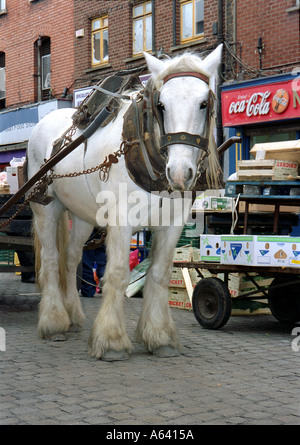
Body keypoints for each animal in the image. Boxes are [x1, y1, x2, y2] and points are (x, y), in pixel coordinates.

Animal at [26, 44, 223, 360]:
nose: (180, 173)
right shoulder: (122, 221)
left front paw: (159, 336)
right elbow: (117, 273)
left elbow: (159, 273)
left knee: (71, 258)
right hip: (46, 206)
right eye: (161, 105)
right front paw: (111, 340)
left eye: (204, 103)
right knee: (51, 259)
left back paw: (73, 315)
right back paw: (54, 322)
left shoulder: (172, 224)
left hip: (83, 215)